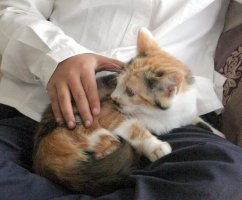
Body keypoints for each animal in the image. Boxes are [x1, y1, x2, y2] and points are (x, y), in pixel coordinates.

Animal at [32, 28, 223, 197]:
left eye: (130, 92)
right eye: (117, 83)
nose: (114, 97)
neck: (164, 115)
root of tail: (41, 157)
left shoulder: (185, 112)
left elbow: (200, 121)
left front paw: (218, 133)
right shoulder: (105, 110)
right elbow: (132, 127)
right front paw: (155, 146)